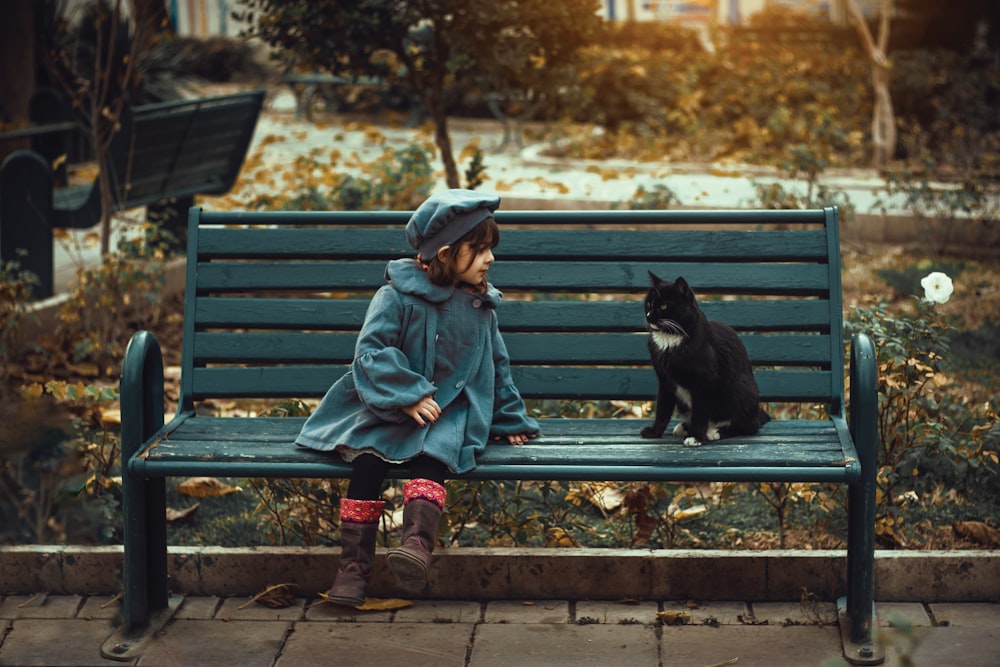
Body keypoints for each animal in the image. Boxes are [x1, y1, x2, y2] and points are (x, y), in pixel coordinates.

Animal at [636, 272, 768, 448]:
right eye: (649, 304)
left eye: (664, 306)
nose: (649, 316)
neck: (670, 338)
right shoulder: (664, 379)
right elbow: (662, 410)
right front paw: (654, 432)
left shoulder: (705, 381)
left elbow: (700, 412)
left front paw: (696, 437)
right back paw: (685, 427)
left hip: (742, 391)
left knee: (749, 426)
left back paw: (714, 431)